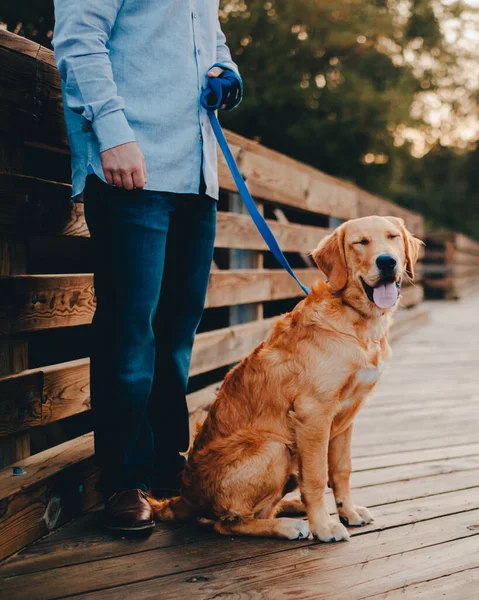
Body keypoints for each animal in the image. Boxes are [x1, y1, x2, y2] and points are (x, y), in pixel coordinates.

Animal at [149, 217, 420, 544]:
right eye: (361, 242)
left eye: (392, 237)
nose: (387, 262)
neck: (355, 319)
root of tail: (185, 496)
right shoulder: (313, 413)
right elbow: (316, 477)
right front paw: (324, 526)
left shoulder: (347, 416)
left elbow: (341, 470)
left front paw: (348, 511)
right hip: (275, 448)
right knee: (226, 523)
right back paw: (289, 525)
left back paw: (292, 507)